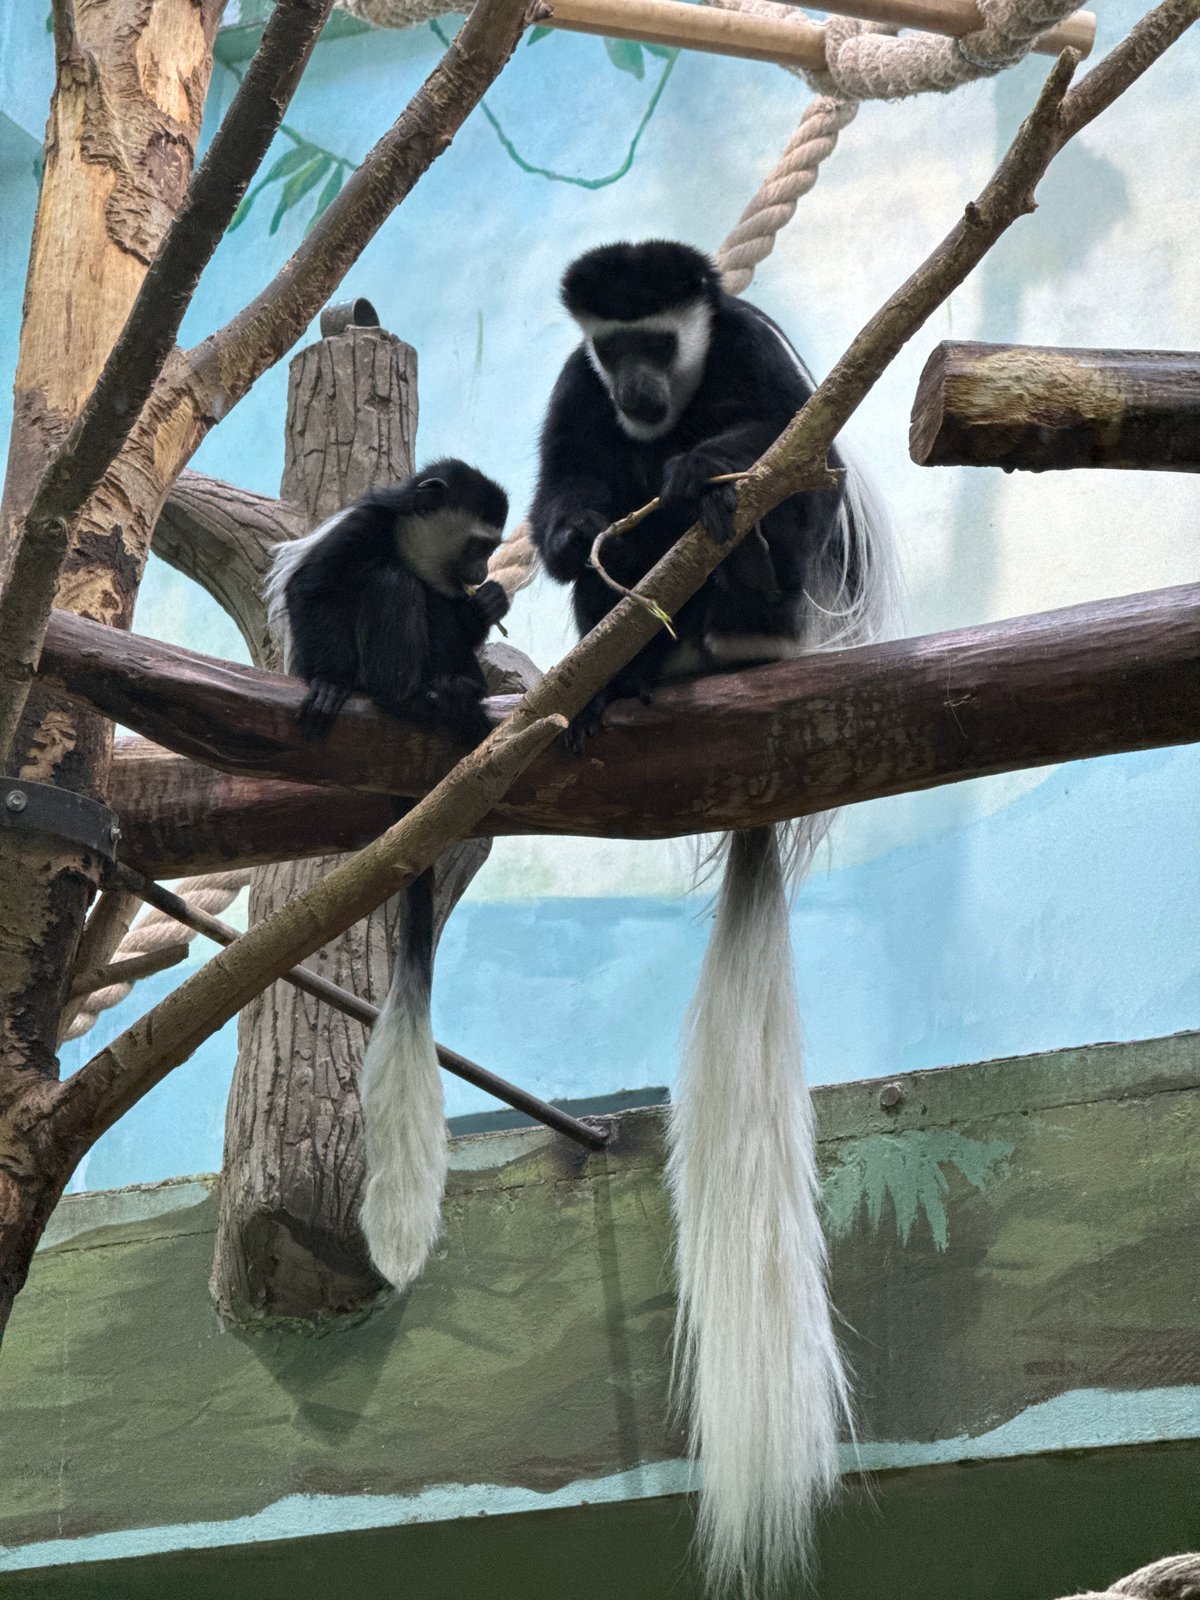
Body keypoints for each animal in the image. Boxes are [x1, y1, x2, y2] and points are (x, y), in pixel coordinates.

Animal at [264, 460, 511, 1290]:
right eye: (477, 543)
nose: (482, 574)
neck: (411, 540)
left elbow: (458, 616)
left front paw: (491, 608)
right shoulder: (360, 530)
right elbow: (317, 589)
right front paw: (328, 683)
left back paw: (457, 697)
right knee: (390, 591)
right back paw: (409, 694)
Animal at [530, 240, 897, 1593]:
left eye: (661, 339)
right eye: (614, 344)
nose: (642, 389)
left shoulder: (744, 350)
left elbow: (799, 438)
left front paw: (699, 474)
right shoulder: (574, 387)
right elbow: (566, 478)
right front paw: (578, 530)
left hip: (789, 605)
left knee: (773, 511)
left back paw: (717, 562)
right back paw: (614, 672)